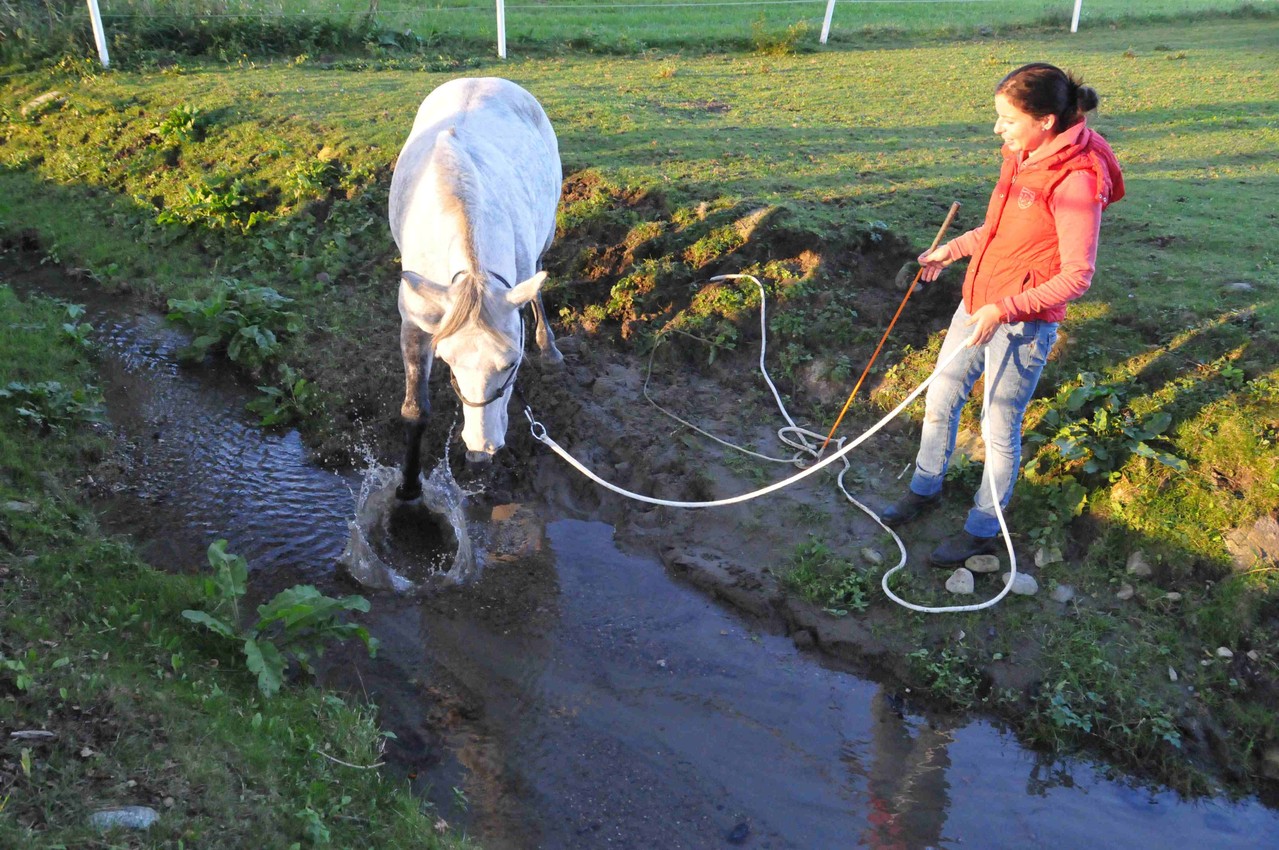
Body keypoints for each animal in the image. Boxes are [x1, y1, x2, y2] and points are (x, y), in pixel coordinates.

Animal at [386, 77, 562, 501]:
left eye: (512, 363)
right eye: (448, 361)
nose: (482, 448)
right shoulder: (414, 323)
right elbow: (415, 411)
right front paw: (408, 488)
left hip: (545, 235)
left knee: (538, 278)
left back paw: (548, 345)